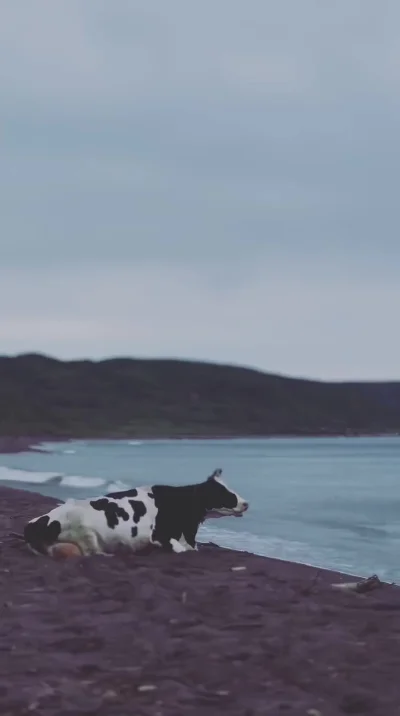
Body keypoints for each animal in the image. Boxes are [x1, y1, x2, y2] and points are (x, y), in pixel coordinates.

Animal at [22, 469, 249, 557]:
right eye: (223, 492)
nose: (246, 504)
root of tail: (33, 524)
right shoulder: (160, 535)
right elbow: (181, 551)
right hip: (85, 532)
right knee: (92, 552)